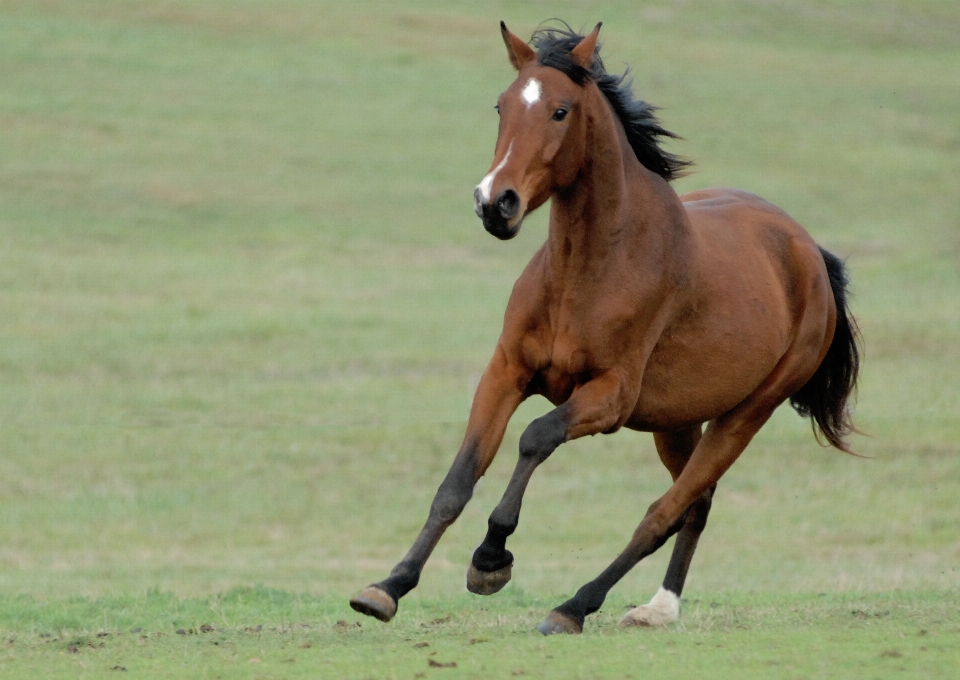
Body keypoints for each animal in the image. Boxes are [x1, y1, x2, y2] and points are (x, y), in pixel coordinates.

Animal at [348, 22, 860, 636]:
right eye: (501, 105)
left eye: (560, 111)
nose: (495, 203)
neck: (587, 270)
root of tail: (810, 253)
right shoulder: (506, 372)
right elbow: (457, 482)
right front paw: (387, 587)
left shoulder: (610, 397)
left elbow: (536, 437)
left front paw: (491, 559)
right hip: (677, 421)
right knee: (696, 503)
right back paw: (659, 607)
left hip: (745, 415)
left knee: (665, 511)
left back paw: (574, 606)